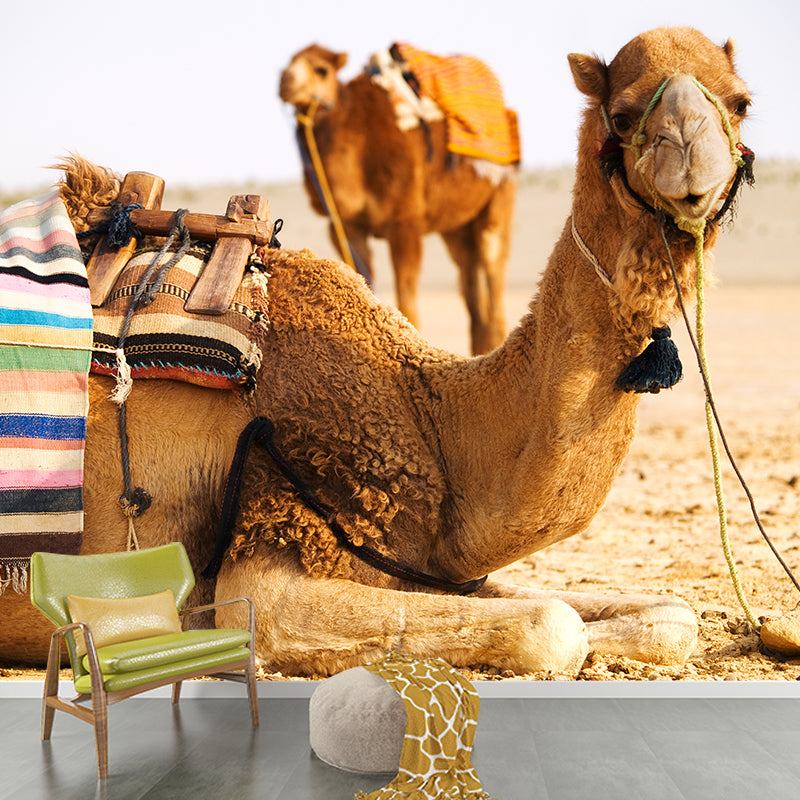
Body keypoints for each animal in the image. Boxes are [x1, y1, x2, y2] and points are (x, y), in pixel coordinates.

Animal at [279, 43, 519, 355]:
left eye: (322, 70)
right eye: (287, 62)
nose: (285, 81)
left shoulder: (406, 222)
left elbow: (406, 293)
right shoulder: (346, 225)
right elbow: (362, 279)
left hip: (500, 193)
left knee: (493, 264)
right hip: (455, 225)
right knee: (467, 273)